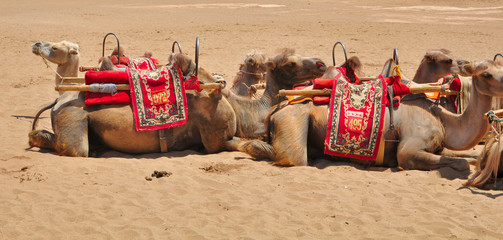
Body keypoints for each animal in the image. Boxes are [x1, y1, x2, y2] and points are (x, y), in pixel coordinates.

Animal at [237, 58, 503, 171]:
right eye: (487, 74)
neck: (443, 118)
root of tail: (274, 110)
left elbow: (466, 157)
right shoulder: (409, 150)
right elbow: (459, 162)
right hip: (292, 120)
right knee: (292, 157)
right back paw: (251, 147)